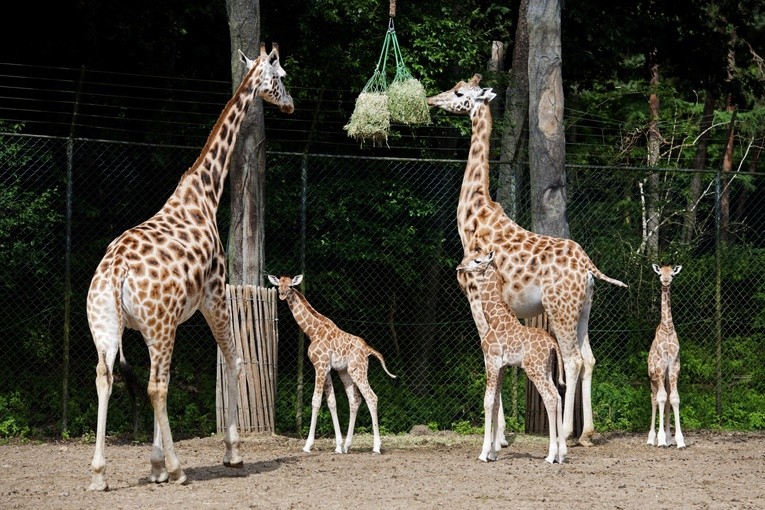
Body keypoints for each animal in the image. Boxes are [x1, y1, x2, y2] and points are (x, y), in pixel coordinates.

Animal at [85, 43, 294, 490]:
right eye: (281, 76)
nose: (290, 104)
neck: (205, 193)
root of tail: (115, 274)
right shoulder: (213, 297)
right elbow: (234, 360)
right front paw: (231, 453)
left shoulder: (166, 322)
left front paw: (155, 467)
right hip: (158, 324)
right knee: (156, 387)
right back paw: (181, 470)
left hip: (107, 325)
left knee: (106, 378)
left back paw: (99, 474)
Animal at [268, 274, 396, 454]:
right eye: (279, 284)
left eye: (291, 286)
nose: (282, 294)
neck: (312, 331)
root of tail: (368, 350)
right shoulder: (327, 369)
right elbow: (331, 402)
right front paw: (338, 445)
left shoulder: (320, 366)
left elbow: (315, 401)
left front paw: (307, 445)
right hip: (346, 372)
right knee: (355, 400)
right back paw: (348, 446)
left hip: (358, 370)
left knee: (371, 397)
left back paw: (376, 447)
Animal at [456, 249, 564, 464]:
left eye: (477, 260)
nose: (459, 267)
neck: (494, 317)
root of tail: (552, 344)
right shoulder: (503, 365)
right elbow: (497, 402)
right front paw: (494, 453)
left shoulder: (491, 360)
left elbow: (488, 401)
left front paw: (484, 453)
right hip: (546, 368)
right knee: (556, 395)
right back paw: (560, 455)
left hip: (534, 369)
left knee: (550, 397)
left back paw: (550, 456)